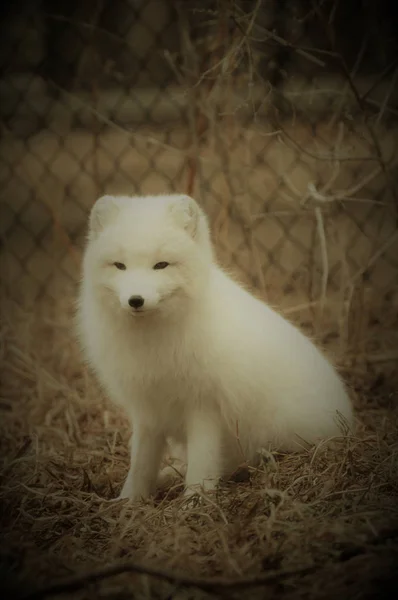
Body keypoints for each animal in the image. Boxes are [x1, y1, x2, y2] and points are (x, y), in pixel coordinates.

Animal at [77, 193, 354, 502]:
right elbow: (141, 464)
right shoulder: (147, 408)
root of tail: (350, 422)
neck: (152, 340)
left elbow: (203, 461)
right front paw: (128, 502)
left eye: (161, 265)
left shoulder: (205, 405)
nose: (135, 300)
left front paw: (195, 501)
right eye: (119, 265)